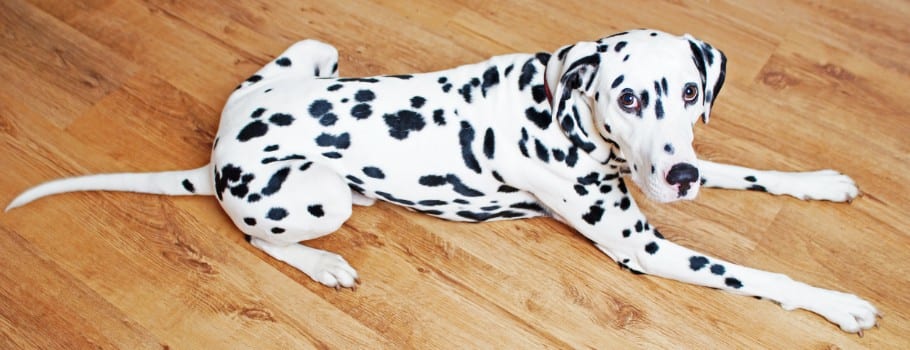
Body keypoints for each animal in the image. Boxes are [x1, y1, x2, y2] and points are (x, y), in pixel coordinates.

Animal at [3, 29, 880, 334]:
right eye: (629, 96)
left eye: (691, 92)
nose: (682, 176)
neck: (565, 108)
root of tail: (219, 152)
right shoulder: (645, 246)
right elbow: (762, 276)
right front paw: (839, 303)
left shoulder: (663, 167)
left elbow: (745, 171)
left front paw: (821, 182)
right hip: (313, 191)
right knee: (253, 234)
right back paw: (322, 261)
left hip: (316, 50)